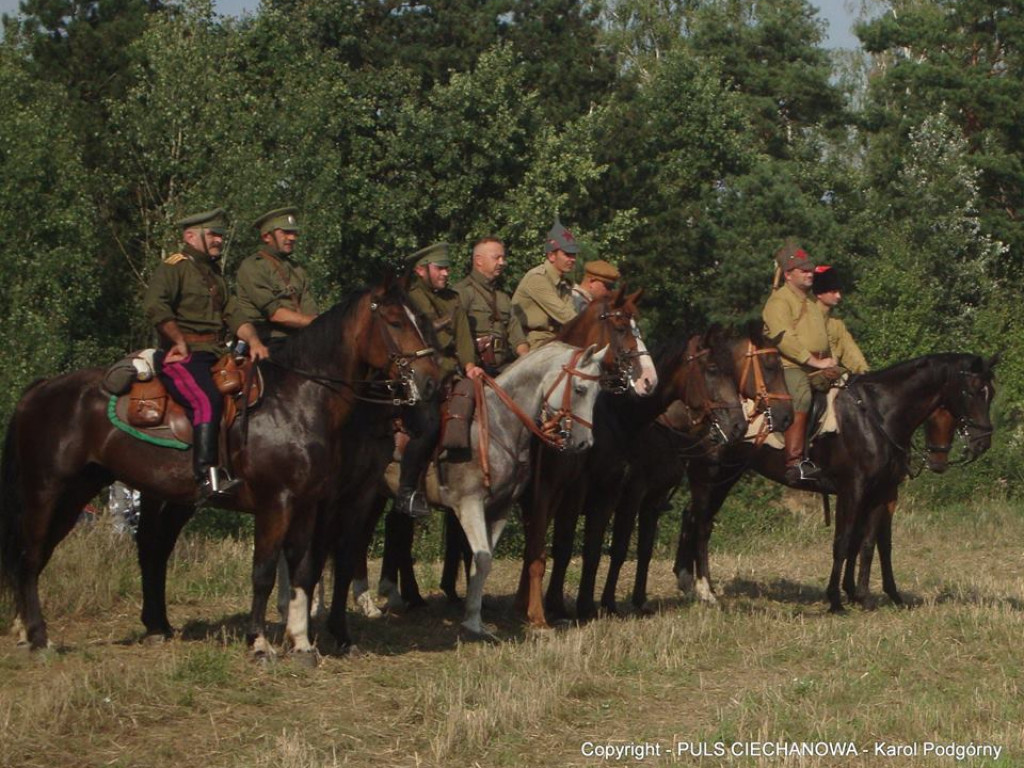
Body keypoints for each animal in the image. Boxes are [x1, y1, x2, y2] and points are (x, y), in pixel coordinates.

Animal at [0, 282, 440, 655]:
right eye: (396, 321)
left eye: (421, 320)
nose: (430, 381)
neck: (299, 399)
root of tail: (41, 389)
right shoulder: (278, 503)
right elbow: (265, 571)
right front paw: (259, 642)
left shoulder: (309, 504)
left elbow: (304, 569)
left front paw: (302, 642)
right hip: (47, 491)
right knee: (31, 555)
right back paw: (39, 638)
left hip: (87, 493)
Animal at [598, 327, 794, 618]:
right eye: (770, 366)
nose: (786, 416)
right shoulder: (686, 480)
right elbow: (698, 524)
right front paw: (704, 589)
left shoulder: (671, 491)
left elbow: (658, 541)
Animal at [675, 354, 995, 614]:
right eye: (970, 391)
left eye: (990, 394)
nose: (982, 442)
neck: (879, 416)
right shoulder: (853, 490)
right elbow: (843, 542)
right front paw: (836, 600)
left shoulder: (880, 494)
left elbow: (868, 544)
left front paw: (863, 596)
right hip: (709, 475)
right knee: (701, 524)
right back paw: (706, 592)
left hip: (725, 477)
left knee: (693, 517)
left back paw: (687, 581)